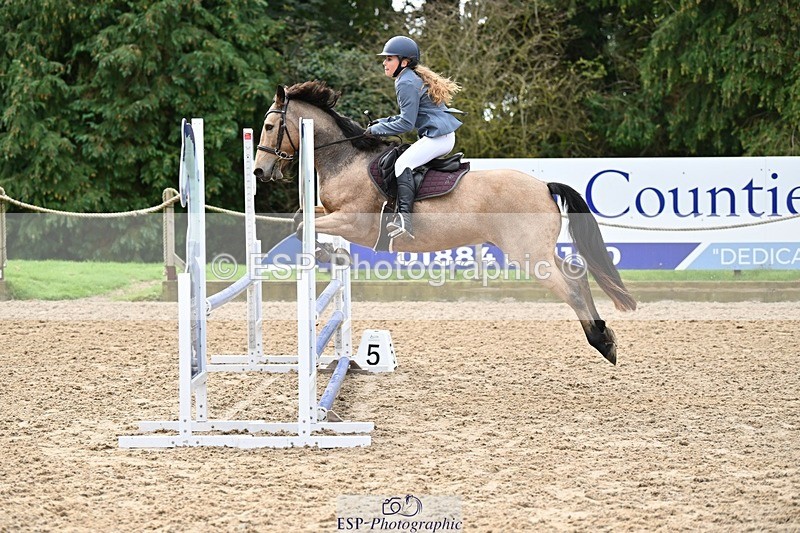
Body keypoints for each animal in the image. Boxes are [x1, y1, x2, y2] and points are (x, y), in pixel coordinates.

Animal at [253, 81, 636, 365]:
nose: (259, 170)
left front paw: (332, 255)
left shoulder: (354, 223)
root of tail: (543, 185)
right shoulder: (331, 213)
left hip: (528, 255)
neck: (346, 159)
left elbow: (302, 226)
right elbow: (301, 218)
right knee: (577, 273)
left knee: (570, 288)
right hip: (539, 250)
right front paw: (331, 254)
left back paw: (601, 342)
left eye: (270, 126)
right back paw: (606, 339)